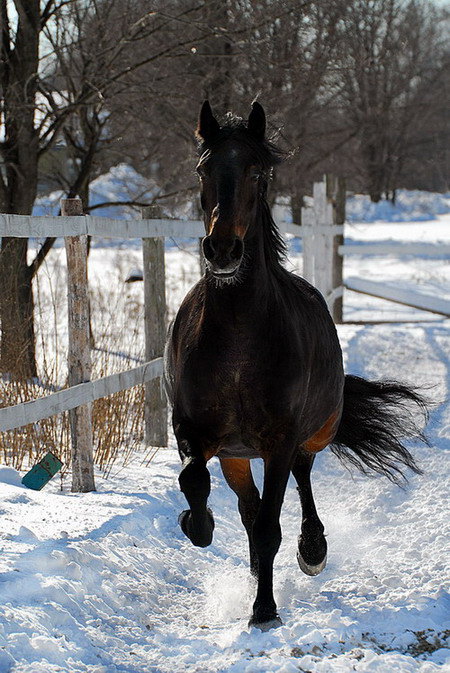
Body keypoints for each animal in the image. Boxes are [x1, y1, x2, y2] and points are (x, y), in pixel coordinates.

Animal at [163, 100, 428, 632]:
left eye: (257, 171)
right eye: (203, 168)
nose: (223, 250)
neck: (238, 341)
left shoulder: (280, 441)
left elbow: (270, 525)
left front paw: (264, 611)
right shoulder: (192, 431)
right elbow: (195, 483)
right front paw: (197, 525)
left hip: (314, 433)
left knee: (302, 478)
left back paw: (313, 549)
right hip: (237, 454)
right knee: (247, 507)